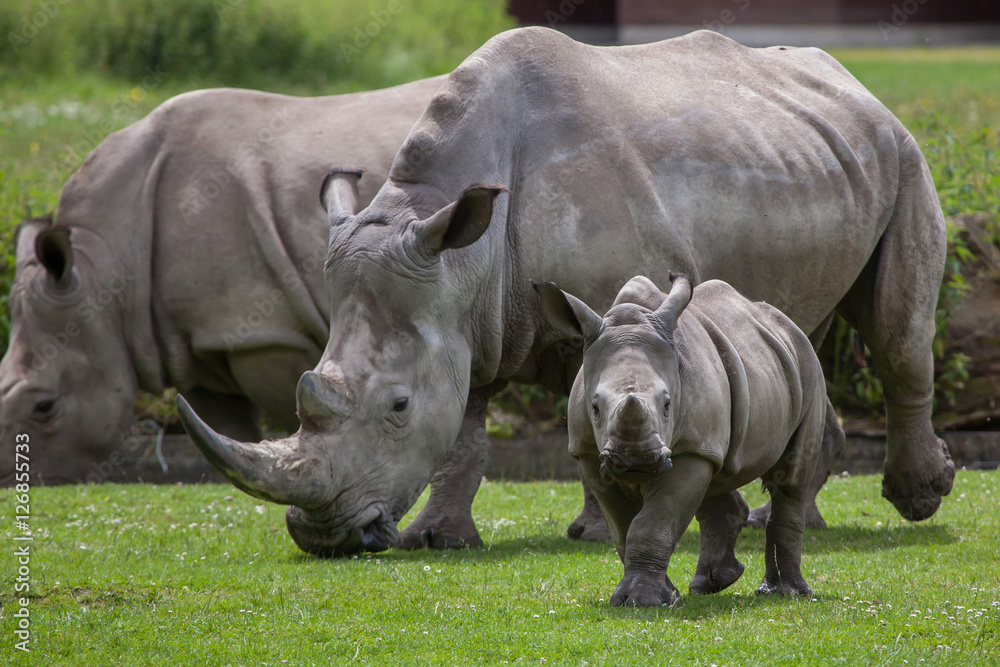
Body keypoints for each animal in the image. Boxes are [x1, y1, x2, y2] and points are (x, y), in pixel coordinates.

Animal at [0, 77, 443, 485]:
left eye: (45, 407)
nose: (13, 480)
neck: (106, 274)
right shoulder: (196, 344)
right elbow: (224, 430)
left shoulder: (267, 332)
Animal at [179, 27, 954, 557]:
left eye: (397, 407)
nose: (324, 537)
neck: (465, 257)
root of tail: (856, 83)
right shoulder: (467, 318)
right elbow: (466, 433)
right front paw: (440, 538)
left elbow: (598, 389)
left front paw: (593, 530)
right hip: (806, 163)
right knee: (802, 331)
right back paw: (794, 517)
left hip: (904, 154)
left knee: (896, 334)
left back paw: (917, 497)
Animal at [534, 274, 828, 606]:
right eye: (595, 408)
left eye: (667, 405)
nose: (636, 457)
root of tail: (786, 323)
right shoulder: (588, 454)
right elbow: (624, 528)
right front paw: (656, 596)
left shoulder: (689, 450)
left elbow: (653, 523)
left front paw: (645, 601)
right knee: (717, 473)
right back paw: (710, 584)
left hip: (807, 364)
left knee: (790, 480)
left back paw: (785, 593)